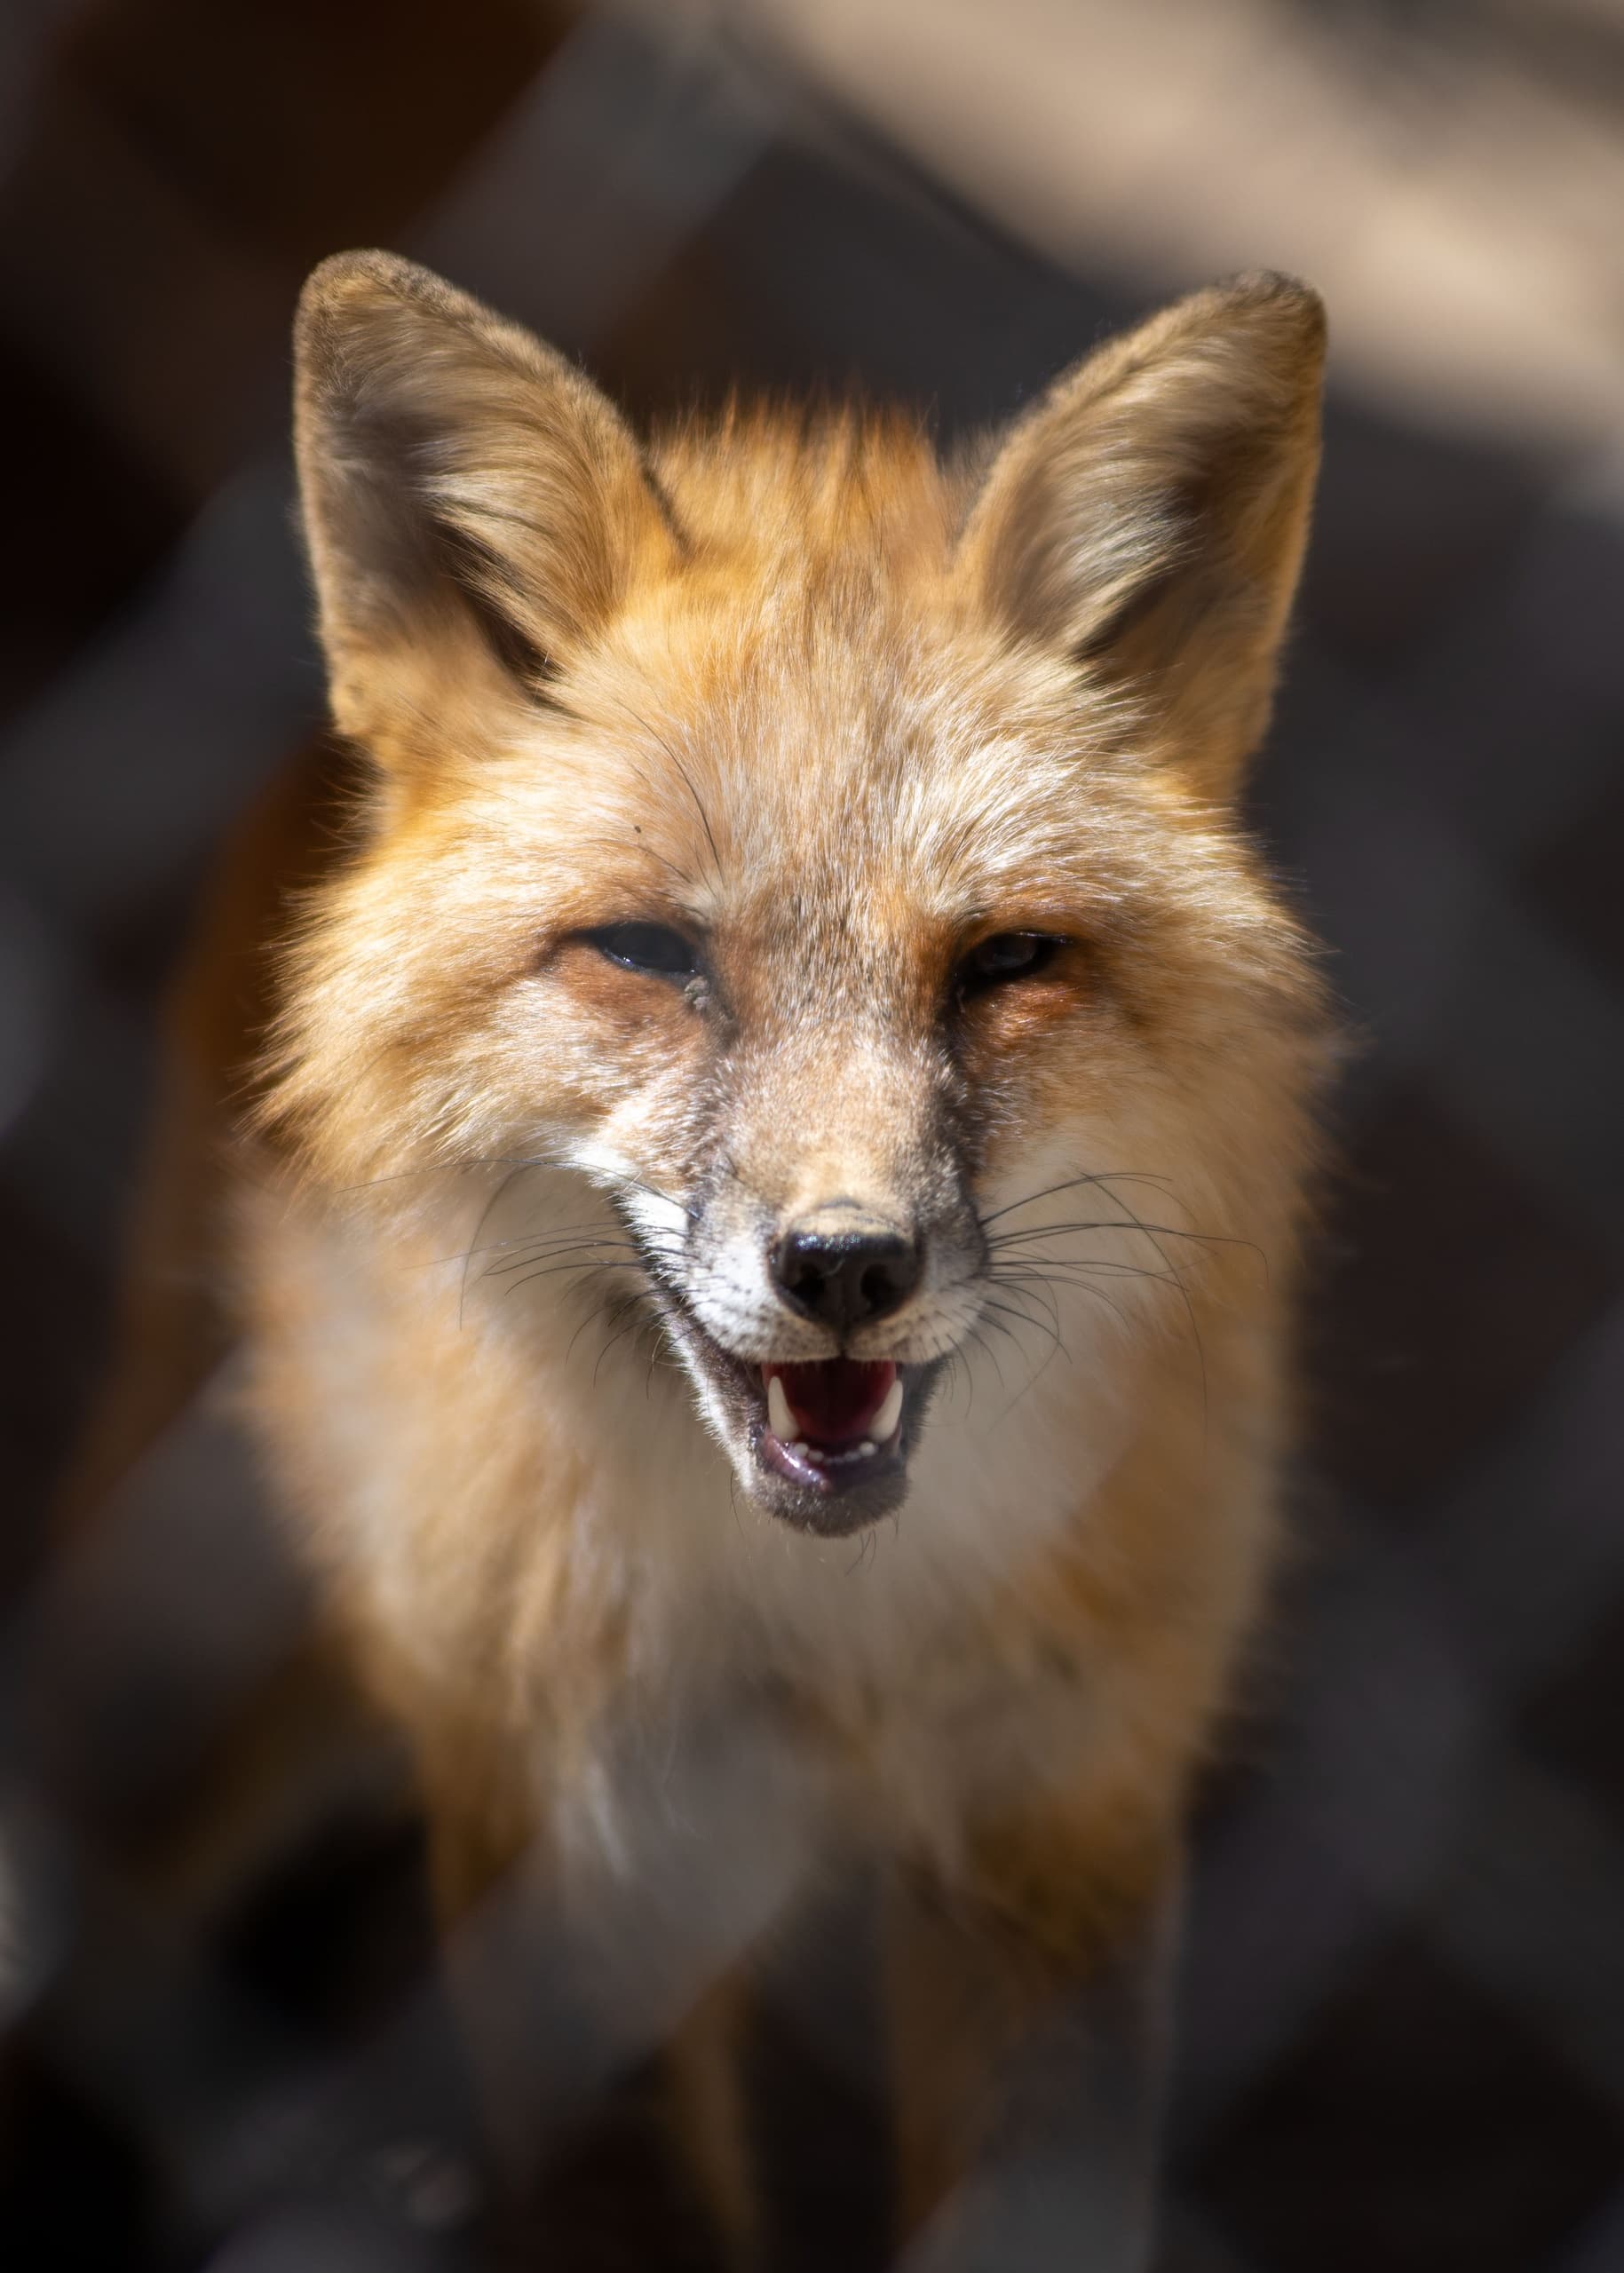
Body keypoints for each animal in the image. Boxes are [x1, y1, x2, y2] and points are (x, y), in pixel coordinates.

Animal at [79, 251, 1331, 2268]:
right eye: (650, 954)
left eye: (1005, 962)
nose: (846, 1265)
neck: (825, 1644)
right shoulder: (581, 1867)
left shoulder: (1059, 1821)